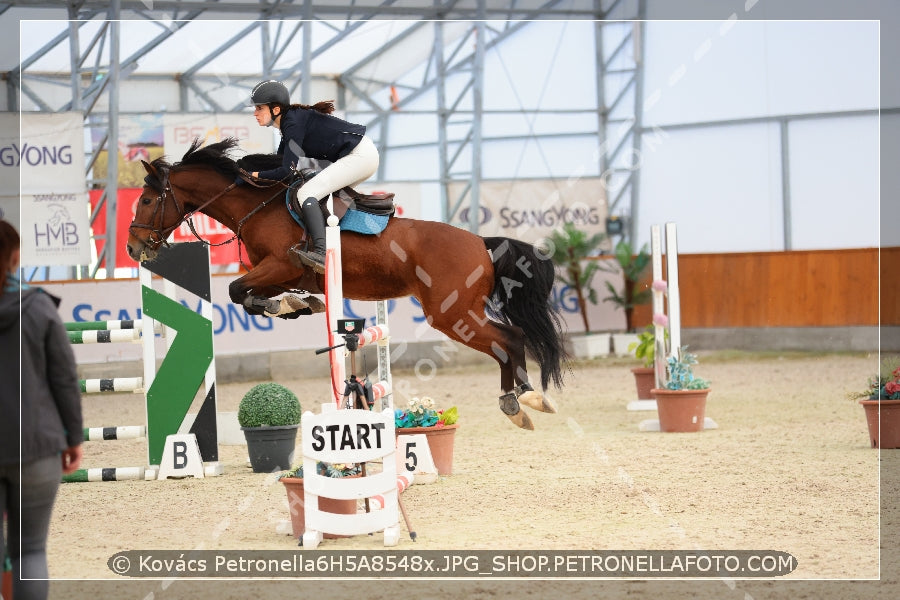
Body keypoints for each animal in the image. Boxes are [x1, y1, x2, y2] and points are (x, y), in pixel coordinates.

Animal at [125, 138, 568, 428]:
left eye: (145, 201)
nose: (133, 248)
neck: (257, 207)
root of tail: (480, 242)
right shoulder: (279, 274)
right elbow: (248, 295)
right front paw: (296, 306)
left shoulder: (280, 265)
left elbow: (236, 290)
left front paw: (288, 306)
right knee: (508, 340)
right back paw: (519, 399)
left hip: (451, 313)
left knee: (508, 339)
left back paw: (521, 399)